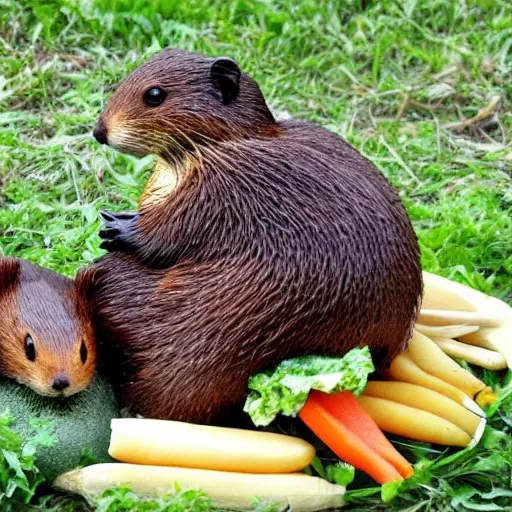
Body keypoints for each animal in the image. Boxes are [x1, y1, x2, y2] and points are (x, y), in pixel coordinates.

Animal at [82, 49, 422, 424]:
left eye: (155, 95)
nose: (99, 132)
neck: (231, 142)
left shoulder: (225, 187)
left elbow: (167, 235)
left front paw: (117, 226)